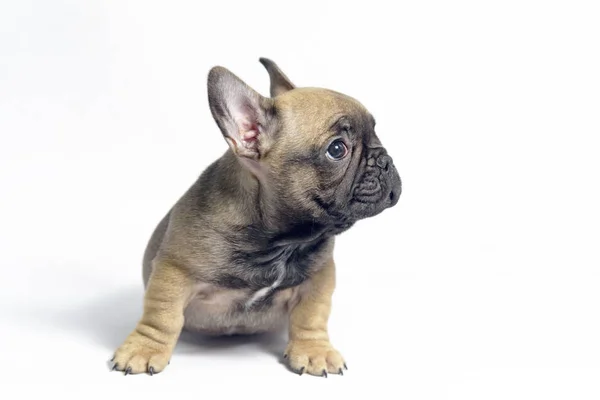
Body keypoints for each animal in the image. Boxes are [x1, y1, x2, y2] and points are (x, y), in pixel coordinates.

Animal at [112, 57, 404, 376]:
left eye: (376, 134)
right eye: (337, 149)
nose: (386, 160)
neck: (280, 242)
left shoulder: (320, 276)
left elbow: (312, 315)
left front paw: (314, 350)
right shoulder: (173, 272)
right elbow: (162, 317)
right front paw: (145, 348)